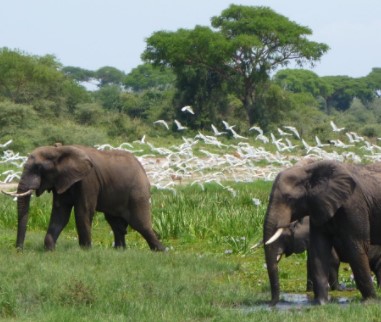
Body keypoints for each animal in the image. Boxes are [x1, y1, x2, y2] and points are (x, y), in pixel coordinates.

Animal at [7, 144, 165, 252]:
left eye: (38, 168)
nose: (19, 250)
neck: (59, 150)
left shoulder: (88, 180)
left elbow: (83, 211)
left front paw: (85, 250)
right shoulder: (62, 180)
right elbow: (60, 213)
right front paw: (49, 250)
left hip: (137, 192)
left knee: (140, 224)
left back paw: (162, 251)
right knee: (116, 223)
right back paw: (120, 251)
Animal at [262, 161, 381, 304]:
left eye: (289, 199)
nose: (272, 304)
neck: (309, 170)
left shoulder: (353, 204)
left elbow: (356, 247)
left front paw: (369, 302)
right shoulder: (318, 206)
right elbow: (319, 249)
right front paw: (320, 303)